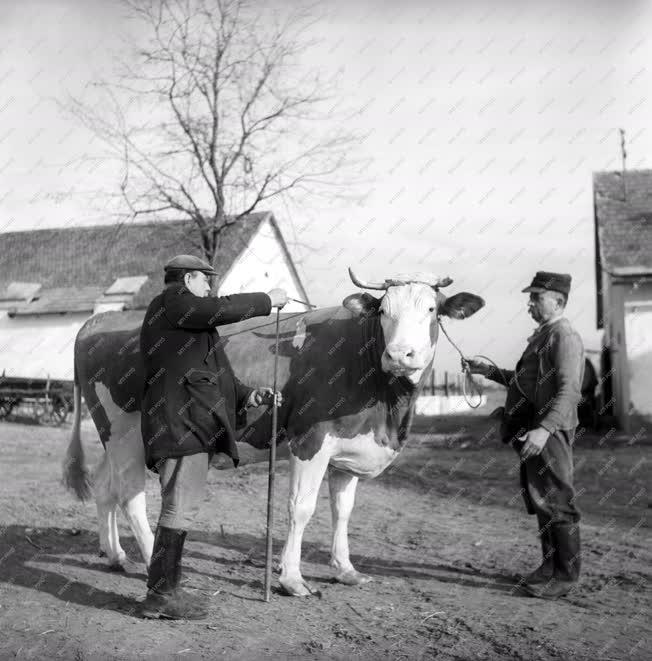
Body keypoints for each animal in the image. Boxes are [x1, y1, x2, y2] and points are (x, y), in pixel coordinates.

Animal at [65, 266, 484, 596]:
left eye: (431, 309)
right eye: (384, 310)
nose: (399, 355)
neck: (387, 408)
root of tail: (98, 322)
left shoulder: (349, 450)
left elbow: (343, 511)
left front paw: (346, 570)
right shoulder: (311, 440)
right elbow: (302, 508)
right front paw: (292, 579)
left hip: (112, 436)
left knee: (104, 486)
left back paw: (115, 555)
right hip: (127, 435)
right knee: (131, 495)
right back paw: (148, 555)